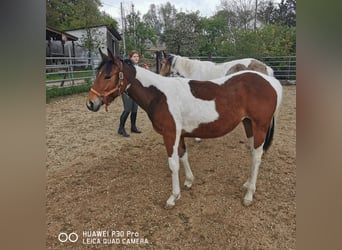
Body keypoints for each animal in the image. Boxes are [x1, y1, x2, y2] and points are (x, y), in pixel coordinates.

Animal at [87, 48, 282, 207]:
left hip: (260, 126)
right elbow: (183, 156)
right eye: (98, 74)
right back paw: (248, 184)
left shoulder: (170, 134)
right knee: (253, 153)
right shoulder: (179, 134)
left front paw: (173, 197)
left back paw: (249, 195)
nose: (90, 103)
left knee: (257, 157)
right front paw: (189, 181)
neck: (159, 95)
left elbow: (173, 164)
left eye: (107, 76)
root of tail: (271, 81)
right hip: (248, 124)